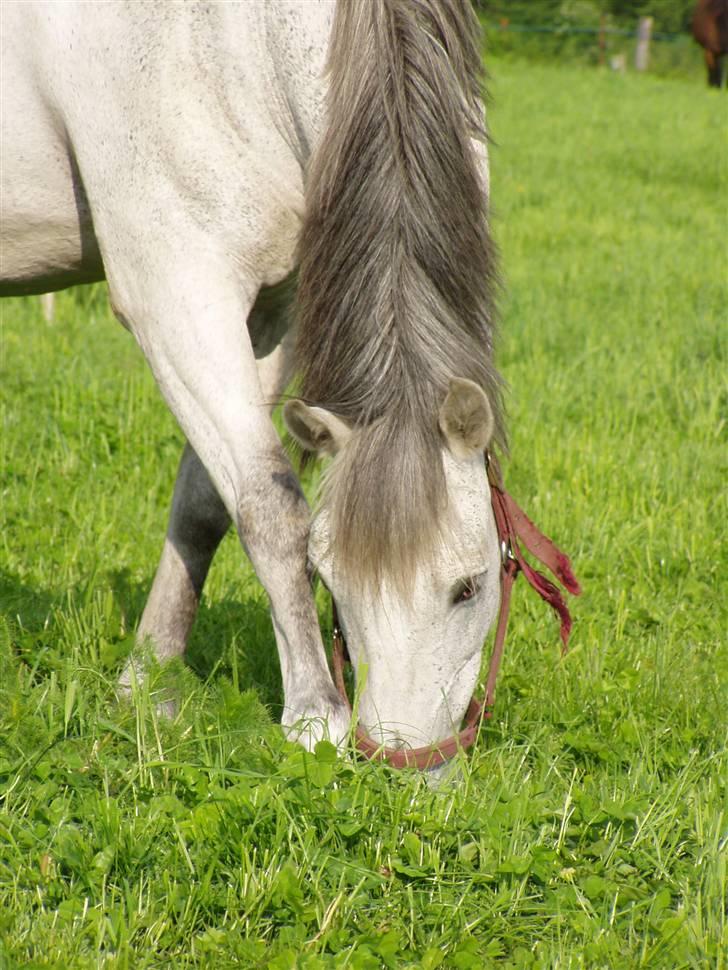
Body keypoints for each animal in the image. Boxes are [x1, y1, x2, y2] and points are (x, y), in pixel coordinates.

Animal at [1, 0, 580, 760]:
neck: (226, 40)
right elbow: (270, 507)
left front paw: (147, 687)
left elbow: (205, 506)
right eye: (328, 578)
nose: (399, 765)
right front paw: (313, 717)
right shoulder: (175, 296)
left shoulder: (273, 307)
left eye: (469, 586)